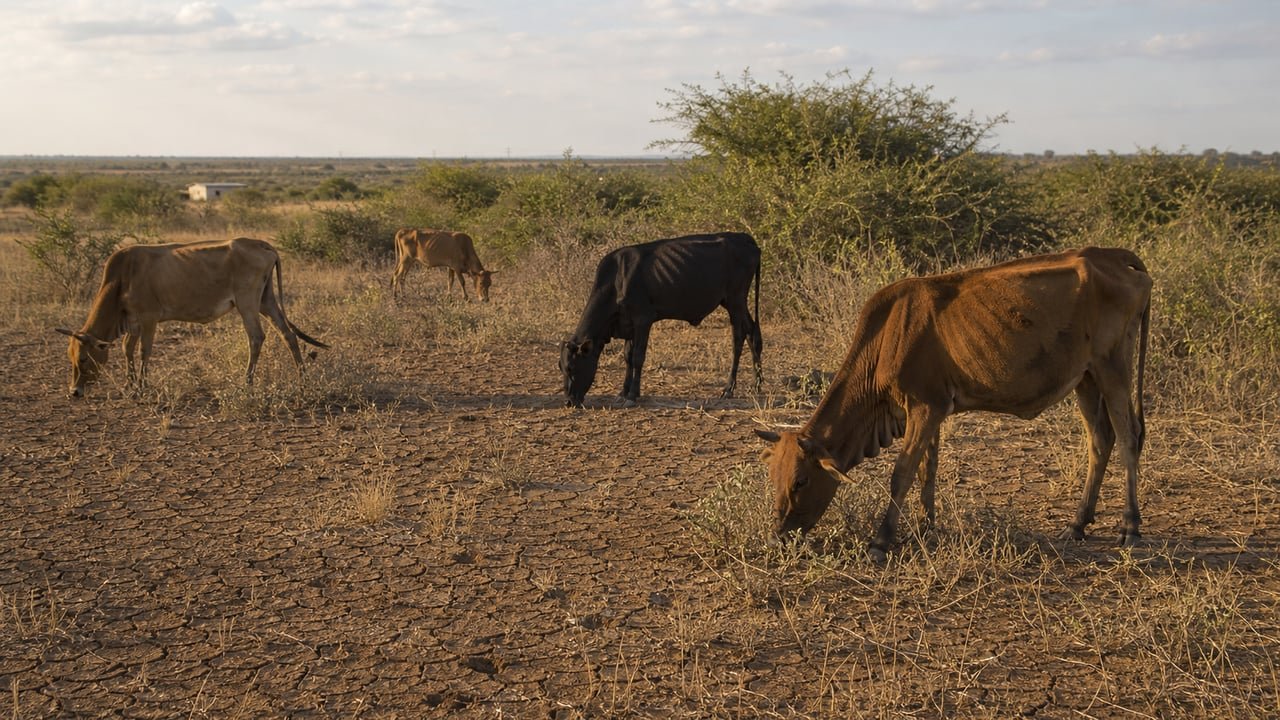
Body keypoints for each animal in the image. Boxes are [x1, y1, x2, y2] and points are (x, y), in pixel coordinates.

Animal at [55, 237, 328, 398]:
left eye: (83, 358)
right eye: (71, 357)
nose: (74, 392)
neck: (122, 278)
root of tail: (261, 243)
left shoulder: (149, 319)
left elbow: (144, 351)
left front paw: (141, 387)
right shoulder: (133, 322)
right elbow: (127, 349)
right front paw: (128, 385)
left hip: (247, 302)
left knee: (256, 337)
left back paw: (247, 382)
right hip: (266, 300)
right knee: (287, 334)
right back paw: (302, 379)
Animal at [560, 232, 763, 408]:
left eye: (571, 368)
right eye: (561, 368)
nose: (569, 402)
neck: (617, 279)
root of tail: (744, 237)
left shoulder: (643, 320)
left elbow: (638, 357)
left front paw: (632, 395)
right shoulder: (628, 324)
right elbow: (627, 357)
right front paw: (622, 392)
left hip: (735, 301)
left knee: (738, 338)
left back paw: (729, 388)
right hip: (733, 303)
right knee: (752, 332)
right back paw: (757, 384)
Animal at [754, 247, 1152, 562]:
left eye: (801, 480)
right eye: (773, 477)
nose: (776, 538)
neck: (887, 337)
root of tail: (1112, 255)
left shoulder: (924, 408)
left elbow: (902, 473)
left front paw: (881, 541)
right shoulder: (930, 410)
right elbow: (927, 470)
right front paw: (924, 528)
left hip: (1114, 366)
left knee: (1128, 437)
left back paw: (1130, 527)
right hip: (1085, 378)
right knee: (1100, 440)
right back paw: (1077, 523)